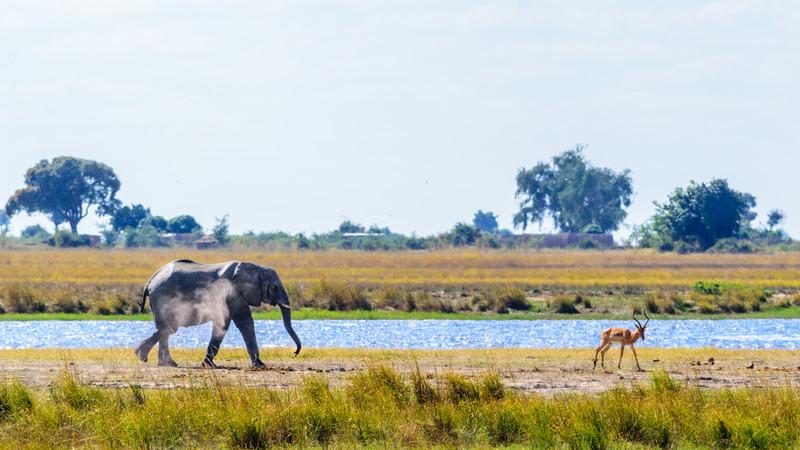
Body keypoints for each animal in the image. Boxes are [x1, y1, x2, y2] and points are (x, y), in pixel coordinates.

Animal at [136, 260, 302, 370]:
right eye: (274, 288)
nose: (294, 353)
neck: (255, 267)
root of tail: (150, 281)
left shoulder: (239, 296)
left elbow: (246, 323)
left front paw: (260, 365)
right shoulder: (229, 294)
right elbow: (224, 323)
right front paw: (208, 365)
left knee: (166, 329)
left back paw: (166, 363)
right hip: (162, 298)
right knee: (168, 328)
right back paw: (143, 356)